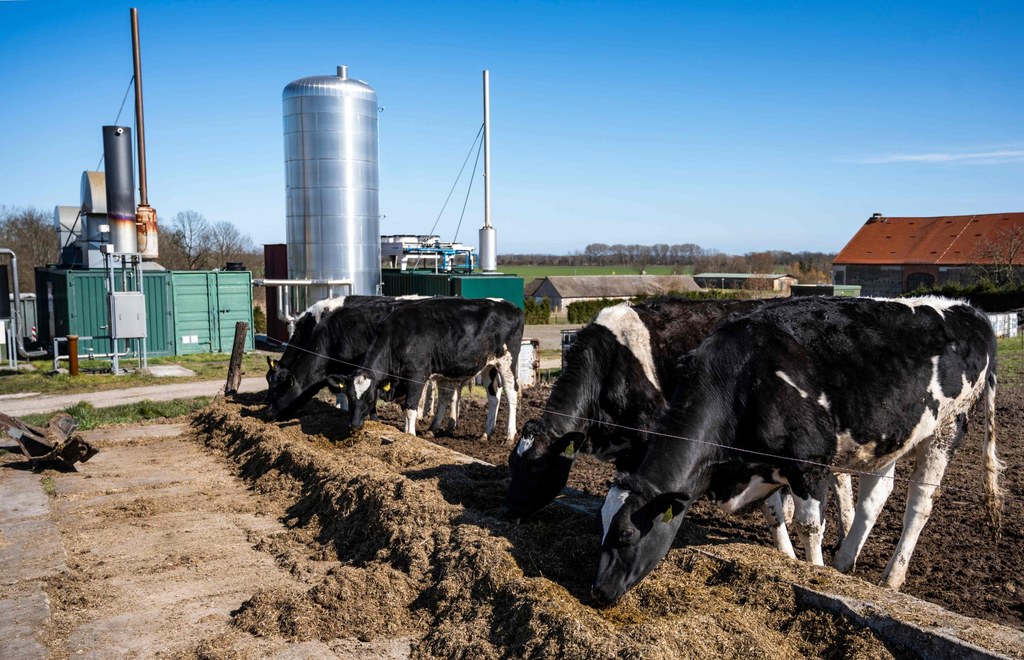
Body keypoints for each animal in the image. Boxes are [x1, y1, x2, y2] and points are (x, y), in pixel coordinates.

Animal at [348, 296, 524, 440]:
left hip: (507, 361)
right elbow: (406, 408)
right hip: (488, 366)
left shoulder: (416, 375)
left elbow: (411, 408)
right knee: (493, 396)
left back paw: (509, 435)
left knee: (511, 392)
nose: (354, 425)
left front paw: (411, 435)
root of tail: (511, 306)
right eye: (350, 396)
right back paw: (486, 434)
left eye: (370, 399)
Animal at [593, 296, 999, 605]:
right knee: (875, 497)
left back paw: (891, 577)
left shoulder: (808, 464)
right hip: (889, 438)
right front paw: (791, 560)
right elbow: (776, 514)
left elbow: (809, 525)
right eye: (601, 526)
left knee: (919, 505)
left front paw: (813, 571)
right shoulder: (766, 467)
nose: (598, 591)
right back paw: (845, 562)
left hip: (946, 430)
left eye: (626, 534)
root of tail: (969, 310)